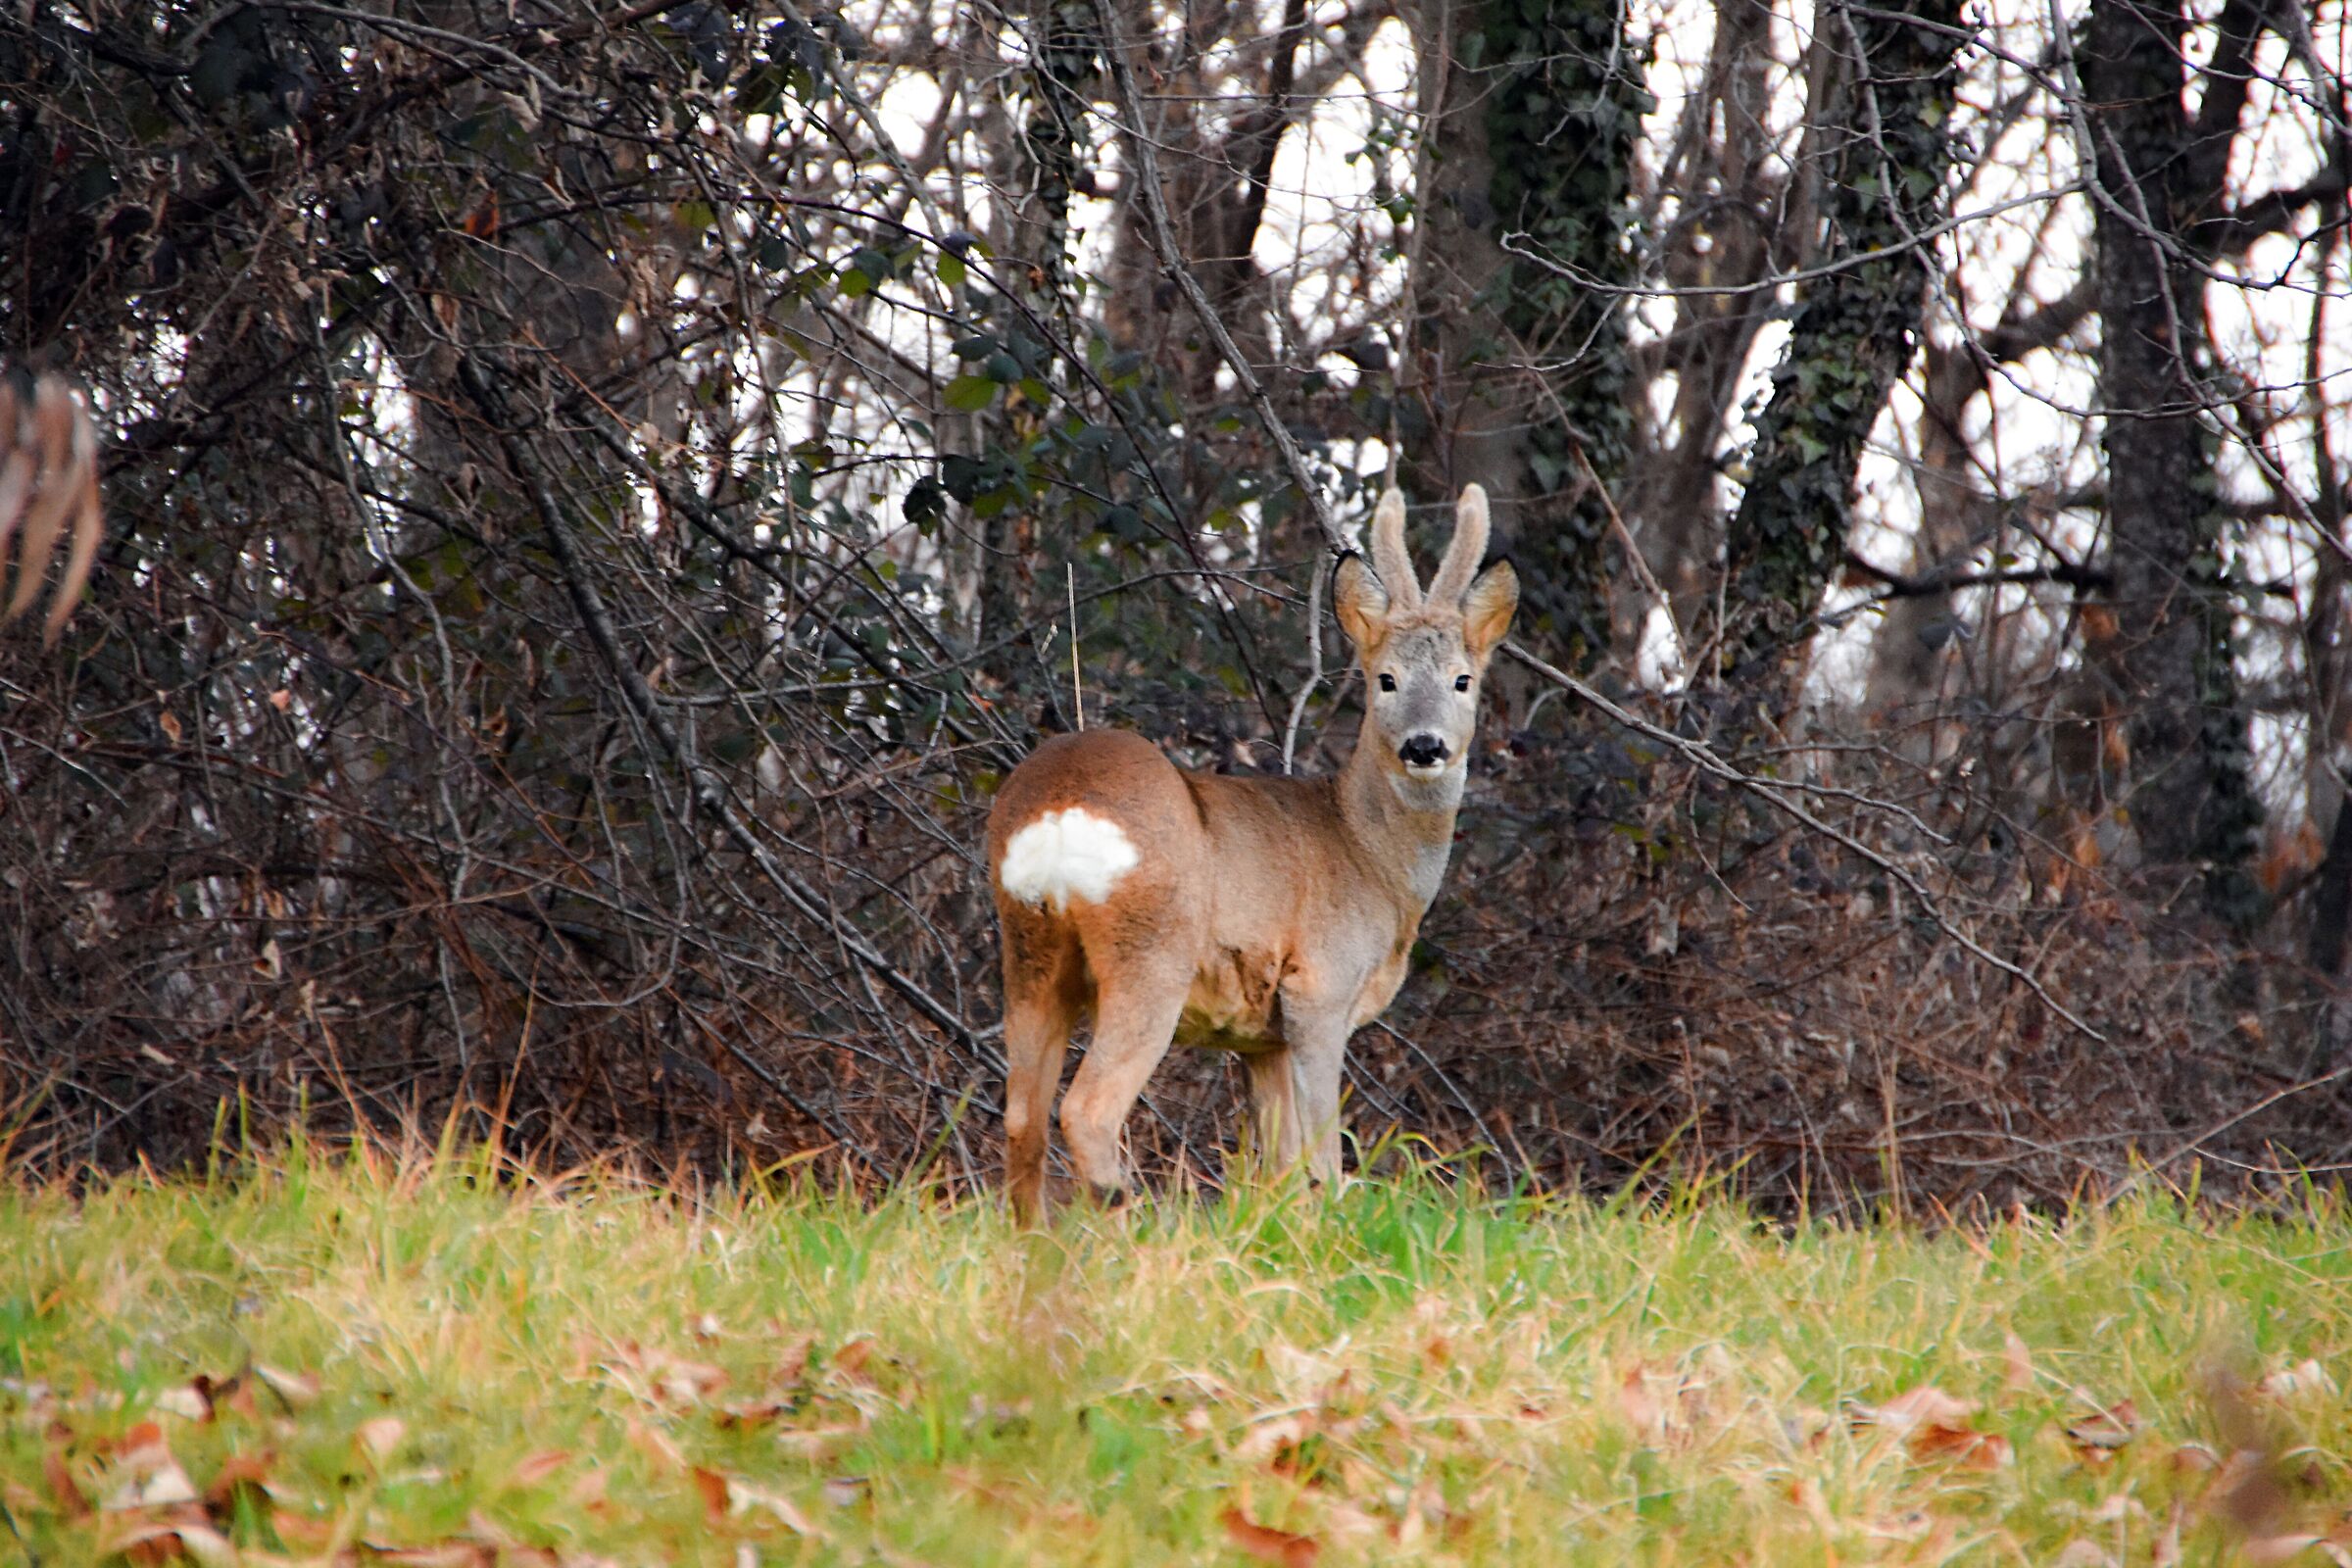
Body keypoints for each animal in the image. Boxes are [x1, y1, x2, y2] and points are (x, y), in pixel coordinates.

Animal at [985, 484, 1519, 1216]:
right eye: (1384, 679)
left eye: (1463, 680)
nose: (1424, 745)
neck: (1370, 855)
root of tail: (1059, 809)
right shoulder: (1319, 988)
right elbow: (1323, 1156)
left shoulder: (1260, 1038)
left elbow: (1283, 1166)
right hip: (1151, 951)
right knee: (1087, 1111)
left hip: (1029, 950)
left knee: (1021, 1120)